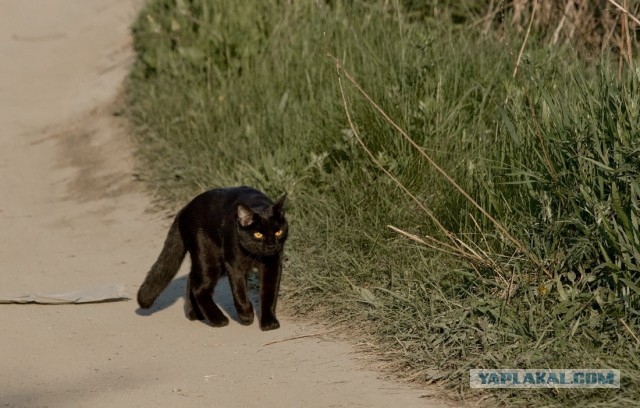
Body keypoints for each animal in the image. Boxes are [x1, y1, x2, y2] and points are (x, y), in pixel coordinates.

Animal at [138, 186, 288, 330]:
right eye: (258, 234)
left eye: (278, 232)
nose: (271, 245)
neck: (253, 255)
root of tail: (185, 208)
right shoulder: (234, 266)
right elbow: (239, 294)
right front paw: (247, 316)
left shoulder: (272, 265)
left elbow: (269, 294)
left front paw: (269, 323)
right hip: (209, 259)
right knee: (199, 288)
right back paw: (218, 319)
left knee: (192, 279)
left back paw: (195, 314)